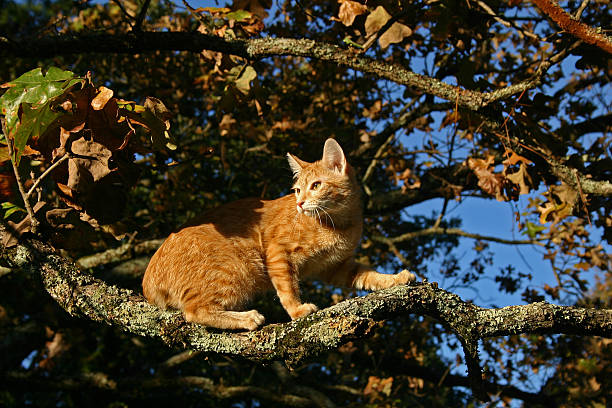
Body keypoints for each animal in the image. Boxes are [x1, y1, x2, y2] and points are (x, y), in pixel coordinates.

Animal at [142, 139, 416, 330]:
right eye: (296, 190)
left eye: (316, 185)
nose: (300, 204)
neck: (338, 224)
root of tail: (148, 279)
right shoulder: (277, 252)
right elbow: (287, 288)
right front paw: (297, 311)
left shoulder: (337, 267)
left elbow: (368, 275)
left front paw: (394, 279)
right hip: (237, 267)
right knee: (193, 310)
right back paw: (246, 318)